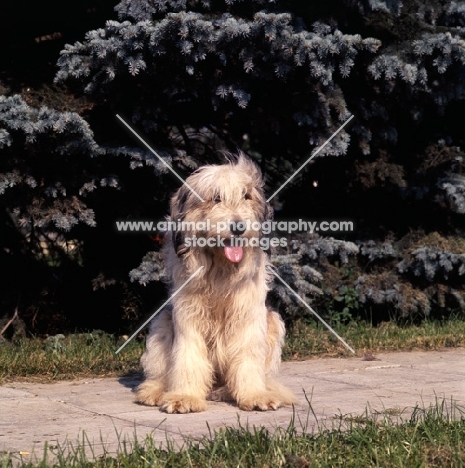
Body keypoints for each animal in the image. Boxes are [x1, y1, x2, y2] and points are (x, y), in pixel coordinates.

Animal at [134, 153, 298, 414]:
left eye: (246, 196)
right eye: (216, 198)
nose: (238, 228)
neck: (220, 270)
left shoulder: (248, 315)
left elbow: (248, 355)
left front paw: (255, 394)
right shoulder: (188, 316)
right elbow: (188, 356)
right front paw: (184, 396)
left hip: (272, 320)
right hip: (162, 322)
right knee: (160, 372)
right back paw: (156, 391)